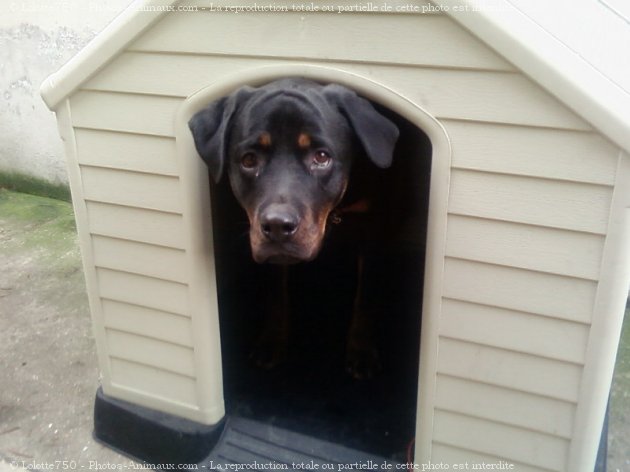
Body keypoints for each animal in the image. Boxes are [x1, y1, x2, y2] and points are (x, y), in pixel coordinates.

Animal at [188, 78, 400, 380]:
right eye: (248, 160)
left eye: (321, 157)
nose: (277, 225)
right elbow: (277, 294)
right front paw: (271, 341)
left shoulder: (372, 234)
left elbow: (366, 297)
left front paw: (362, 350)